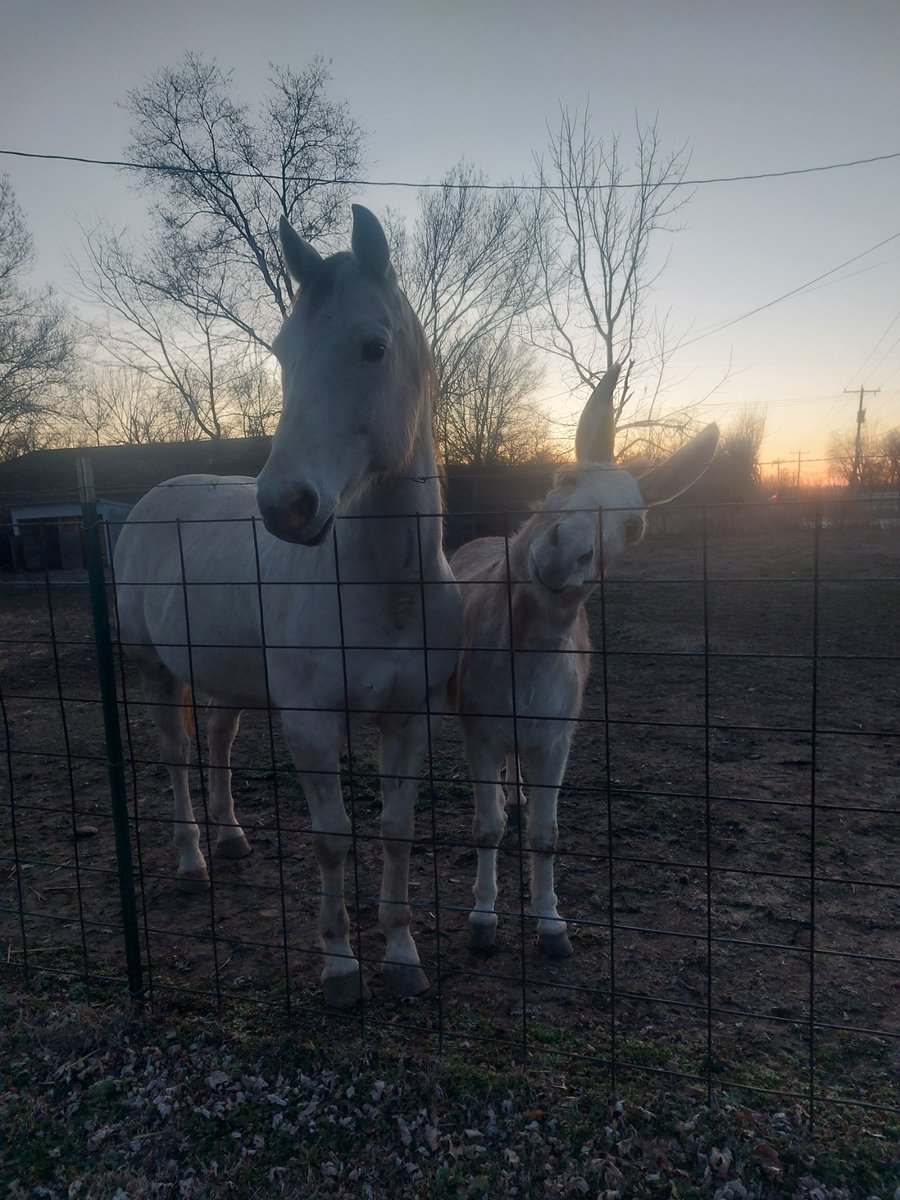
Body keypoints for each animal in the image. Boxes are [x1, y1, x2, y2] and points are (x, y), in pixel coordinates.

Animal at [114, 205, 462, 1008]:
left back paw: (232, 839)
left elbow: (397, 828)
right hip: (153, 670)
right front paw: (339, 967)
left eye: (373, 347)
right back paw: (192, 862)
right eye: (282, 353)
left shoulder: (413, 717)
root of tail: (154, 498)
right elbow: (332, 838)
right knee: (176, 753)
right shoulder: (309, 723)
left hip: (229, 677)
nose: (285, 507)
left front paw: (403, 956)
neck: (378, 590)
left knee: (217, 742)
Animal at [450, 363, 719, 958]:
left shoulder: (556, 738)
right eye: (562, 480)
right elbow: (485, 828)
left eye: (635, 527)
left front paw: (552, 927)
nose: (561, 554)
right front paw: (482, 921)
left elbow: (546, 835)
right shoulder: (481, 732)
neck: (525, 658)